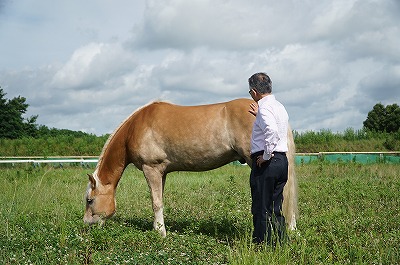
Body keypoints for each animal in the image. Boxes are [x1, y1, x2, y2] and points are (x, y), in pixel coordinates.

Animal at [83, 97, 296, 235]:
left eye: (90, 200)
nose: (86, 224)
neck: (135, 128)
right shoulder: (161, 173)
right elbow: (159, 199)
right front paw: (158, 228)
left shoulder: (151, 169)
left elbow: (155, 202)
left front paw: (160, 233)